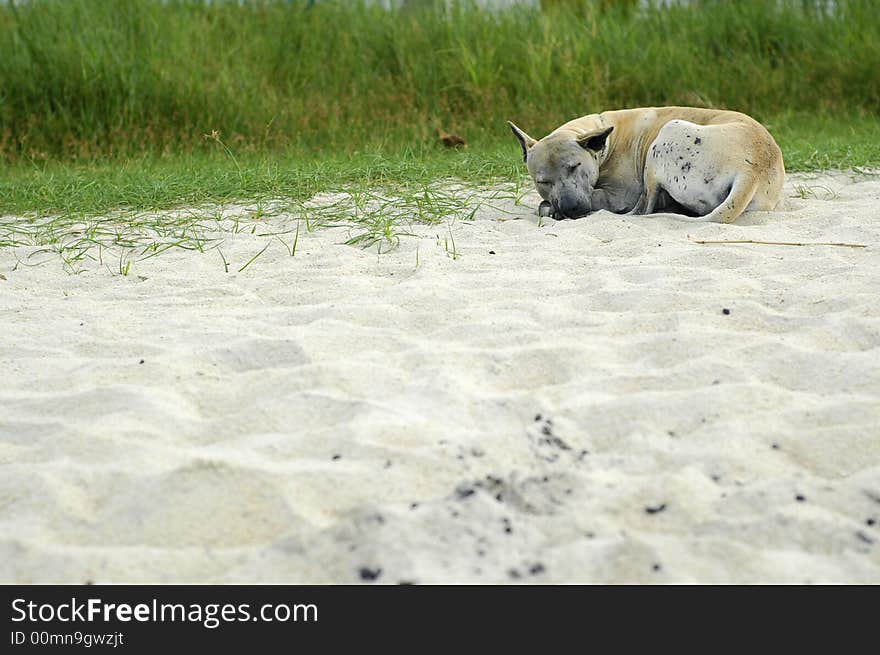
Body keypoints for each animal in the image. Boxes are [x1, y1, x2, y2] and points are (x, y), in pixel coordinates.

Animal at [506, 105, 788, 223]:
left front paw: (552, 209)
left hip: (666, 134)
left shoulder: (618, 194)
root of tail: (751, 169)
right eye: (543, 181)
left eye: (575, 167)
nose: (571, 208)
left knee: (643, 209)